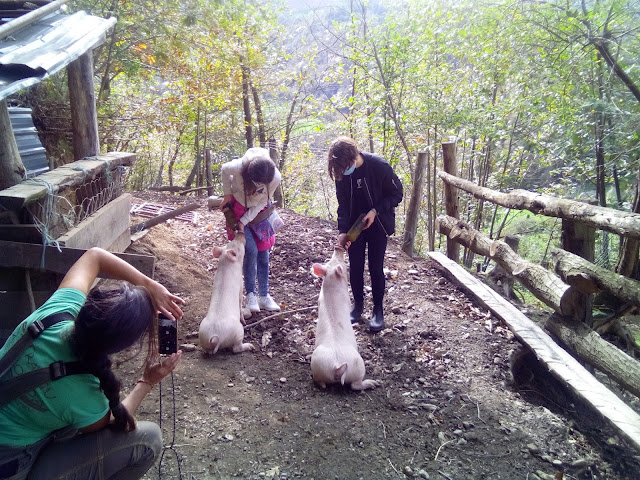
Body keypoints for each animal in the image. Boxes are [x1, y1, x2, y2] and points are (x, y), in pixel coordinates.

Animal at [310, 248, 380, 390]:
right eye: (342, 264)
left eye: (330, 260)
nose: (338, 250)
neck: (331, 286)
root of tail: (336, 366)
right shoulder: (347, 299)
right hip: (358, 365)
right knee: (355, 385)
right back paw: (373, 383)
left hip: (316, 363)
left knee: (321, 382)